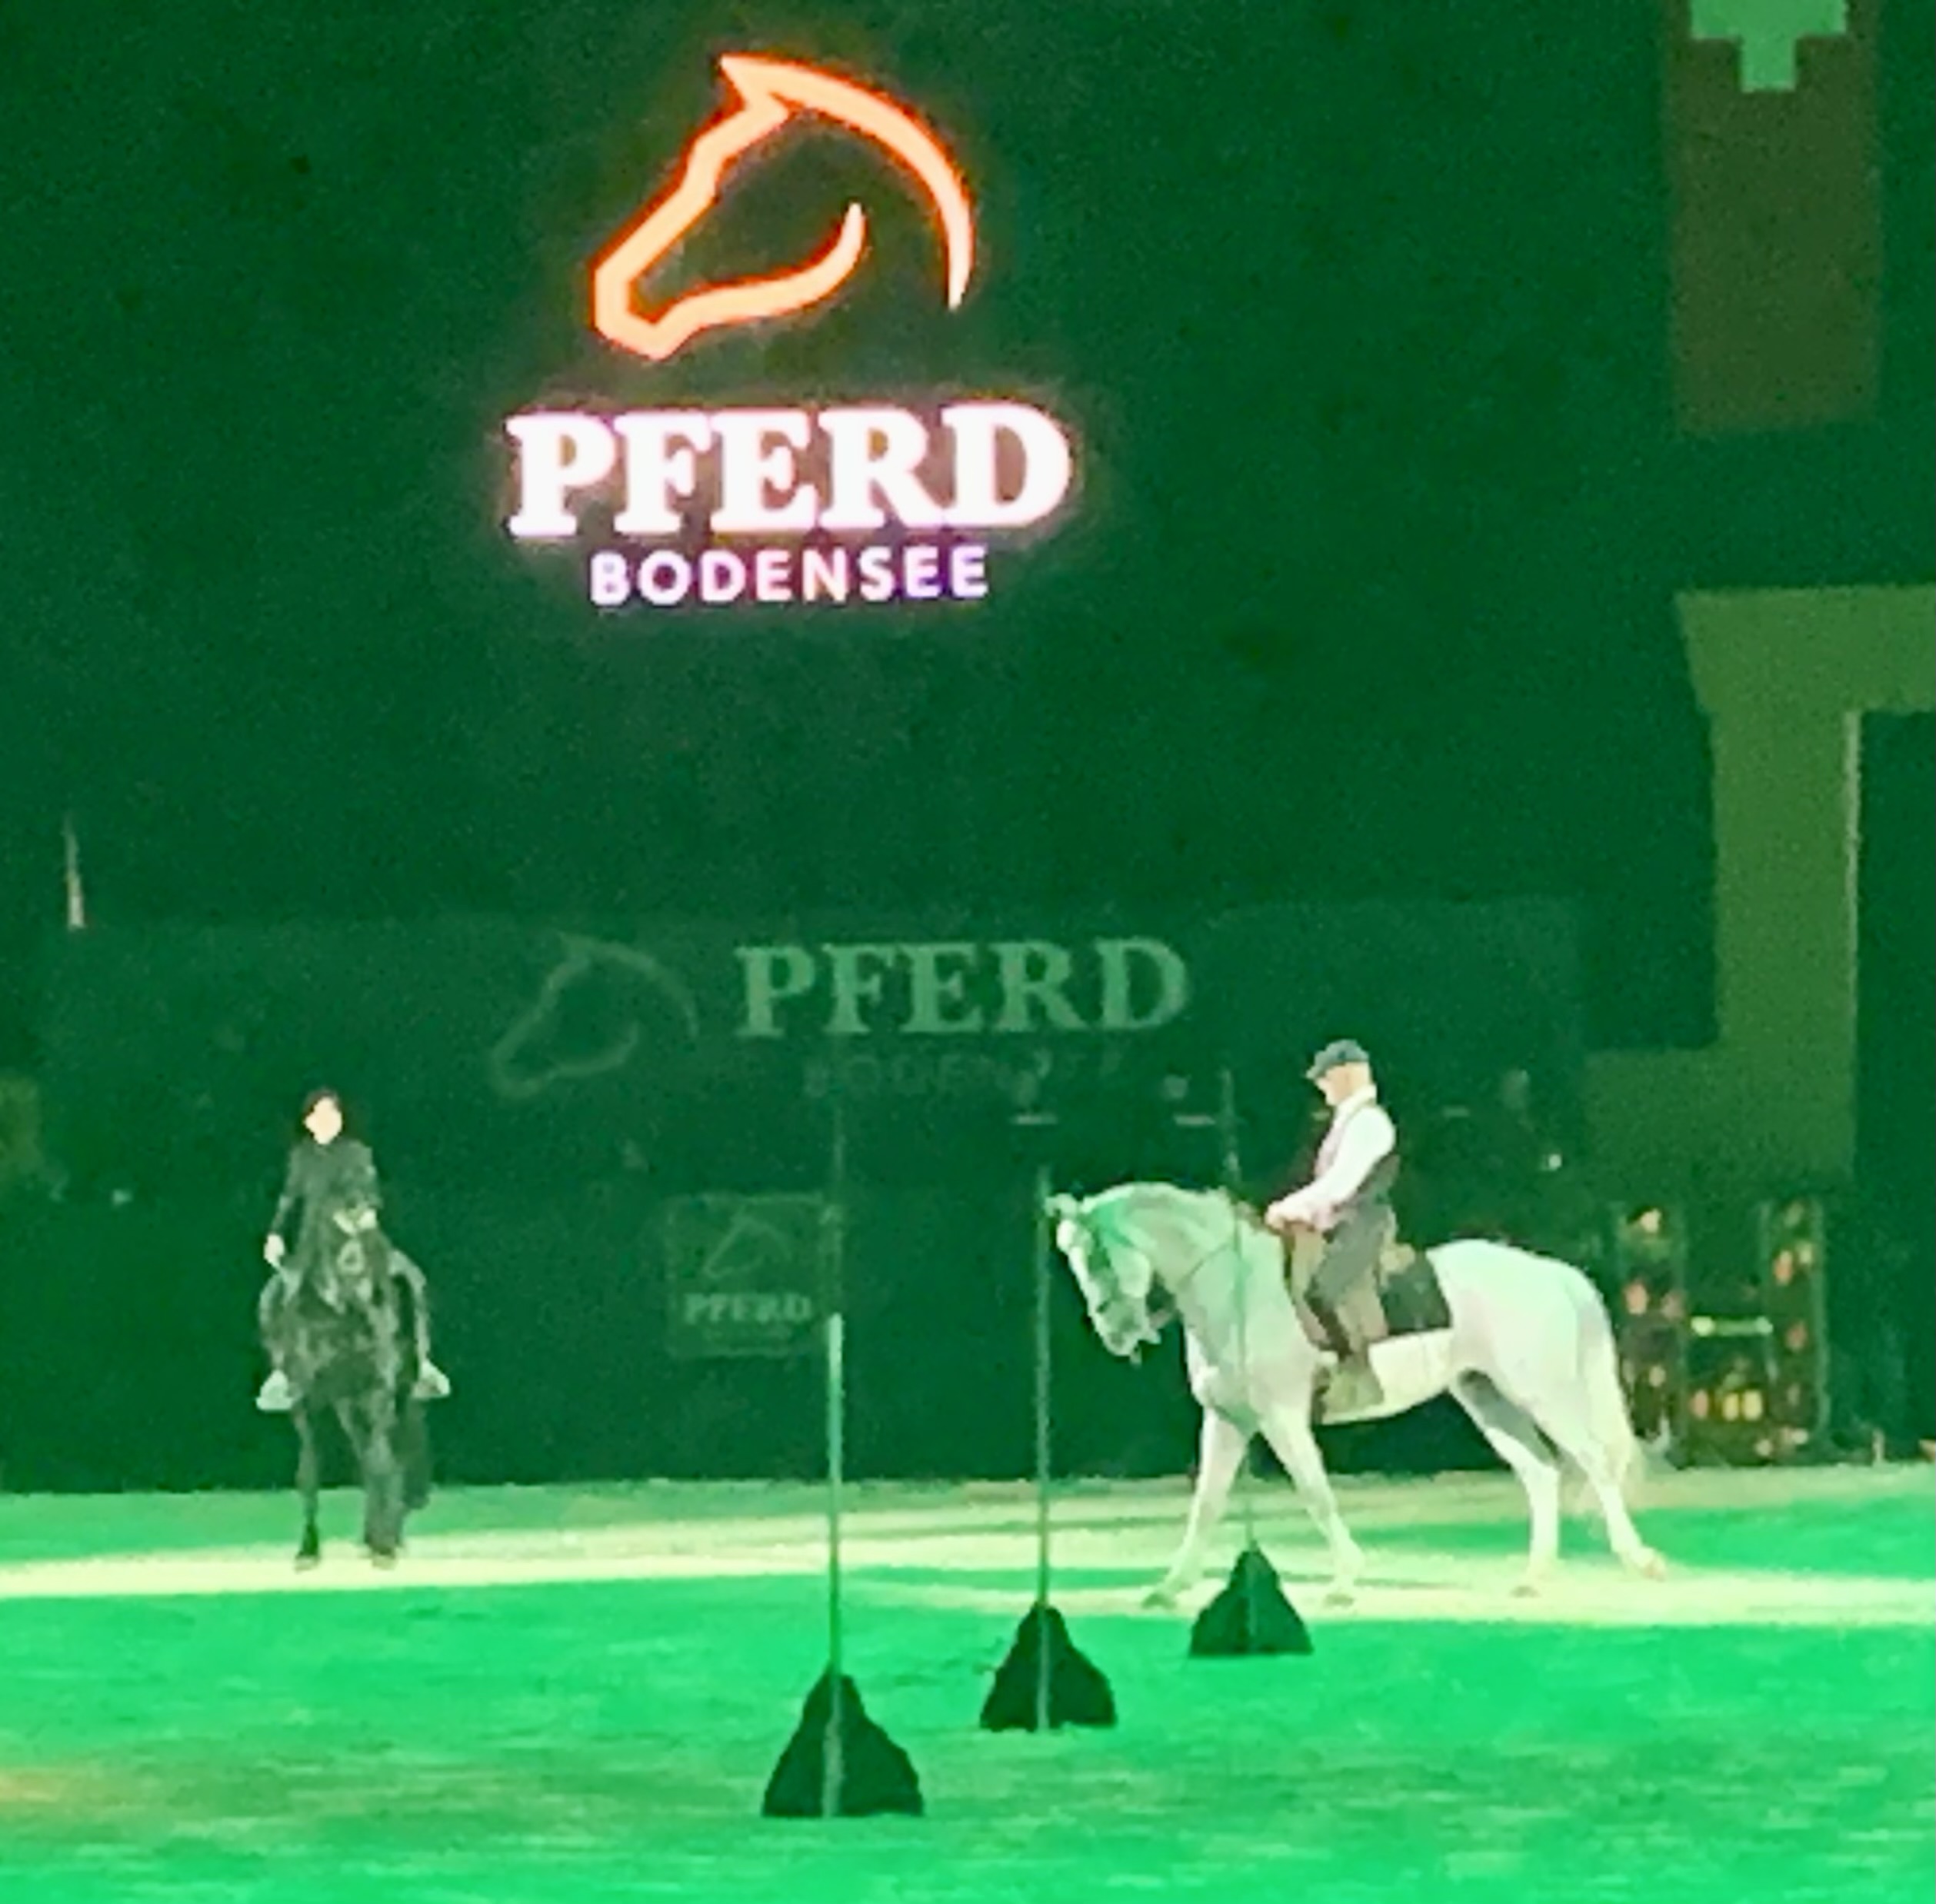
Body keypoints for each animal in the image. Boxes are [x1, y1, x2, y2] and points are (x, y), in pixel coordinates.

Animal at [275, 1198, 441, 1568]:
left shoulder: (379, 1391)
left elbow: (383, 1461)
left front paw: (384, 1546)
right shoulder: (305, 1402)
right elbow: (309, 1471)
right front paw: (308, 1551)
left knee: (388, 1456)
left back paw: (387, 1535)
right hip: (349, 1405)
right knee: (370, 1456)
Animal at [1048, 1182, 1665, 1604]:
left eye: (1099, 1255)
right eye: (1072, 1259)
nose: (1116, 1334)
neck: (1235, 1289)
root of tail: (1548, 1271)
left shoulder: (1280, 1416)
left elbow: (1315, 1492)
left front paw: (1345, 1579)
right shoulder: (1227, 1419)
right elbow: (1206, 1503)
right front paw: (1171, 1585)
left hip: (1541, 1392)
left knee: (1594, 1462)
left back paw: (1638, 1560)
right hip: (1486, 1396)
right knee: (1540, 1473)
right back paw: (1534, 1577)